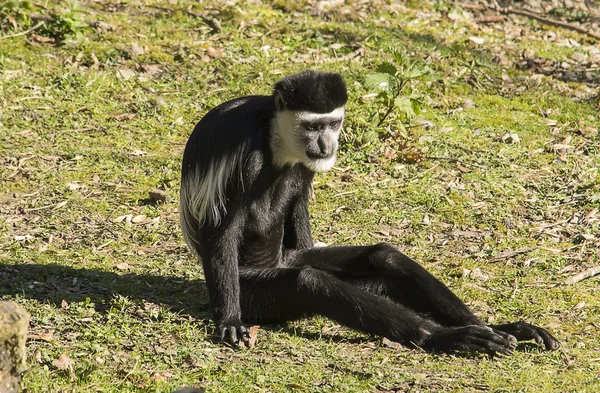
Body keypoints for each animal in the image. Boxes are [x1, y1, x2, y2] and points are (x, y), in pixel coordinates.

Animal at [178, 69, 556, 352]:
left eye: (332, 124)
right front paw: (229, 322)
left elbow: (298, 204)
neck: (275, 136)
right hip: (255, 292)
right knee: (307, 281)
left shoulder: (304, 165)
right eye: (311, 126)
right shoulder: (246, 159)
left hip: (291, 260)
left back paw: (497, 329)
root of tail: (275, 264)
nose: (326, 144)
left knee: (384, 257)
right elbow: (224, 229)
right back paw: (444, 337)